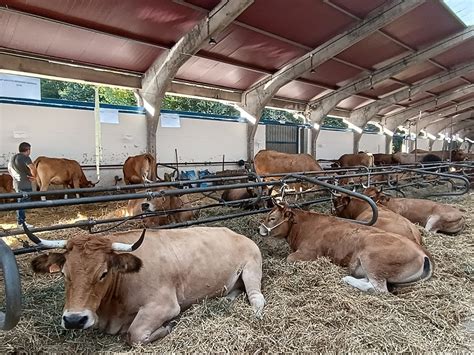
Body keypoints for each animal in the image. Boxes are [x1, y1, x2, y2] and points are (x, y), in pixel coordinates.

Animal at [26, 227, 266, 346]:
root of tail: (236, 232)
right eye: (64, 273)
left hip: (252, 268)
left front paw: (168, 326)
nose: (75, 320)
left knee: (257, 298)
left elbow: (135, 334)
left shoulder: (165, 305)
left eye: (103, 273)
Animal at [260, 204, 434, 294]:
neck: (303, 227)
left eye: (272, 218)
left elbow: (289, 258)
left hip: (373, 259)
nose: (258, 228)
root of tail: (423, 252)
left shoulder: (309, 253)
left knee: (378, 288)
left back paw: (347, 279)